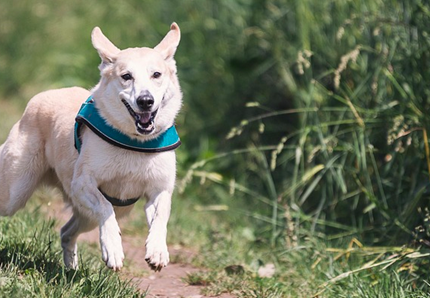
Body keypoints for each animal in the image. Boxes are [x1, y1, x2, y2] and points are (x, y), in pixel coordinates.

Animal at [0, 22, 182, 272]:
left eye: (157, 74)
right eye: (126, 76)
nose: (145, 101)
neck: (134, 142)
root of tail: (40, 97)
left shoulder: (159, 189)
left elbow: (161, 217)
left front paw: (157, 251)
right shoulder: (83, 184)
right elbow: (105, 208)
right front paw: (113, 249)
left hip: (85, 215)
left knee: (66, 232)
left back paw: (71, 269)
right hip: (15, 192)